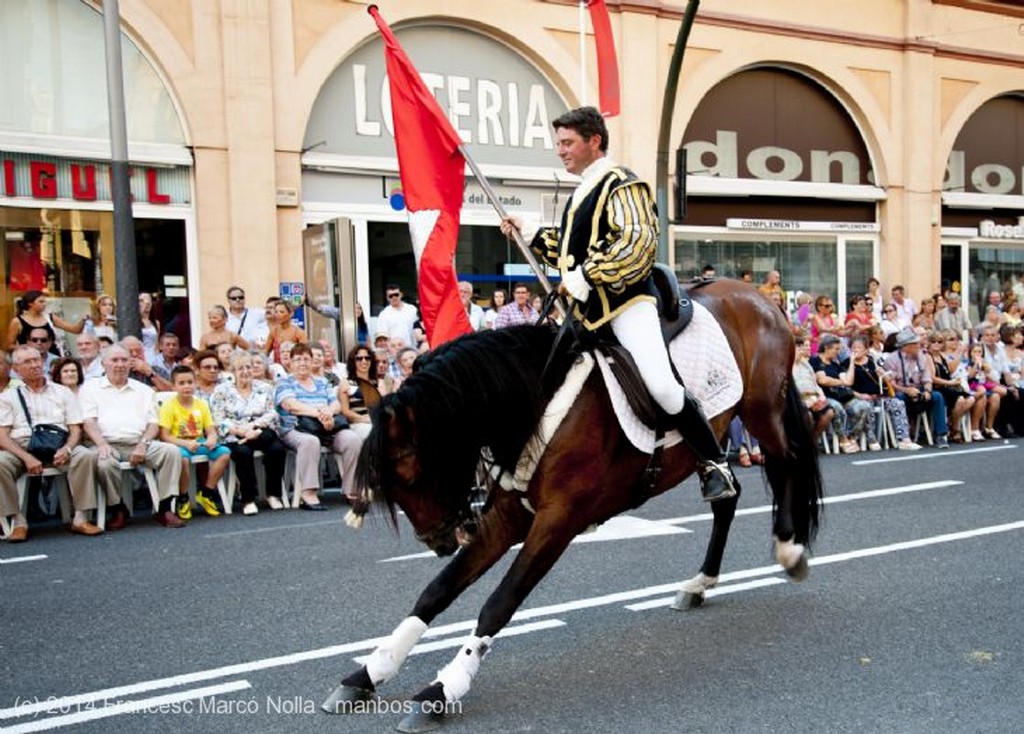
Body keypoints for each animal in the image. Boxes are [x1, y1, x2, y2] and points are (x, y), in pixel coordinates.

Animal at [327, 278, 823, 728]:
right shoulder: (506, 516)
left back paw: (790, 549)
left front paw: (444, 686)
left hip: (761, 412)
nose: (439, 540)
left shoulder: (558, 520)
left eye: (411, 473)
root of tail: (759, 296)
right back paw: (700, 583)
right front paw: (369, 671)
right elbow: (438, 590)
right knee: (727, 495)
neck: (535, 400)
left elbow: (500, 601)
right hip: (722, 435)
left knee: (789, 462)